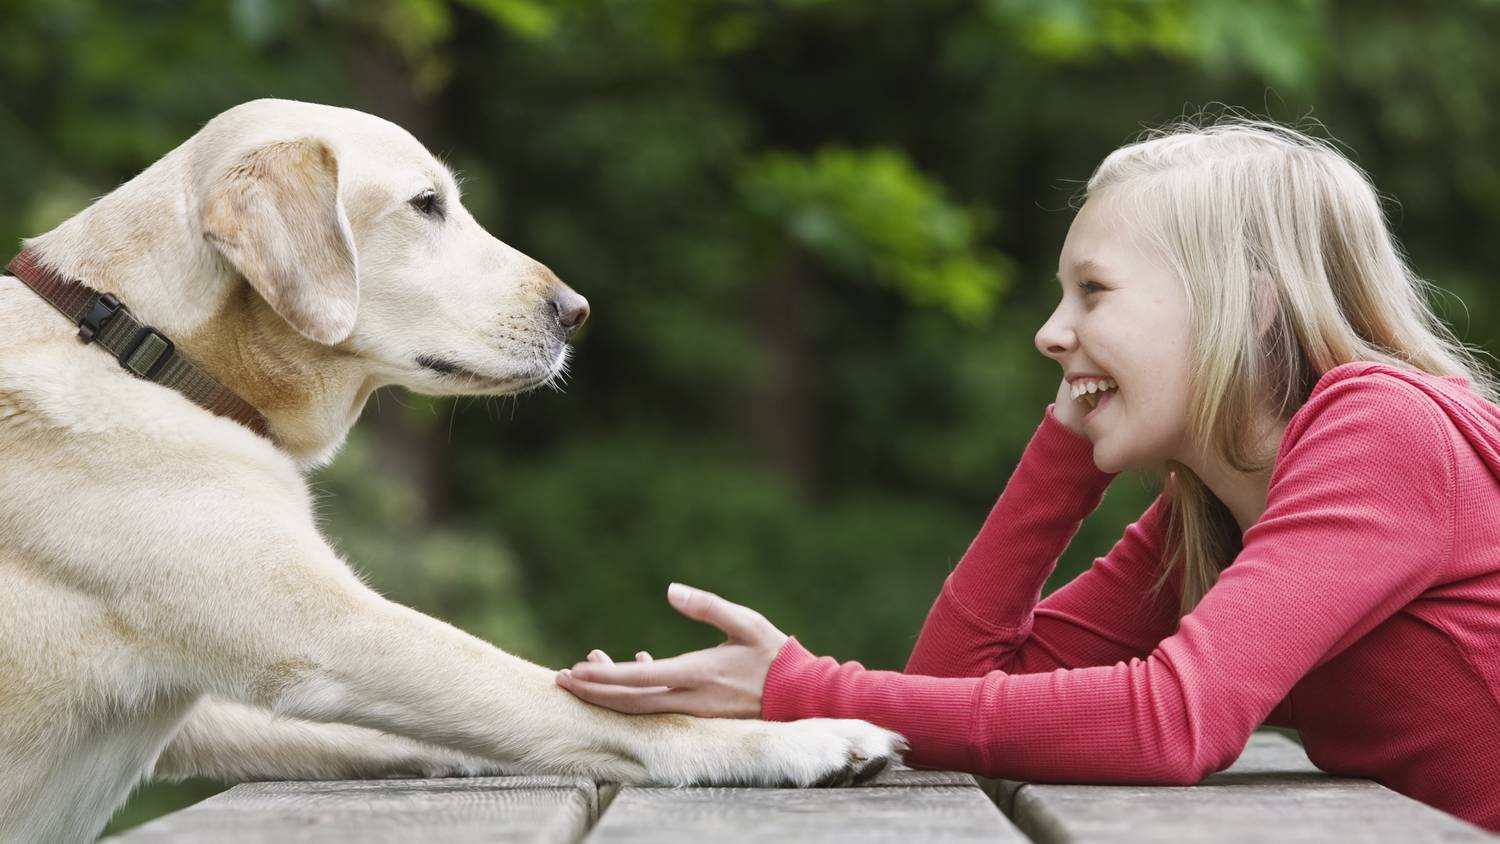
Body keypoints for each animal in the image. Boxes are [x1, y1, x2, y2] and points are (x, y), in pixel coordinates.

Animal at [0, 100, 900, 844]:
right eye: (426, 205)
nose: (576, 312)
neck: (141, 343)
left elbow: (401, 730)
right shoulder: (334, 634)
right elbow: (562, 699)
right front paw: (801, 737)